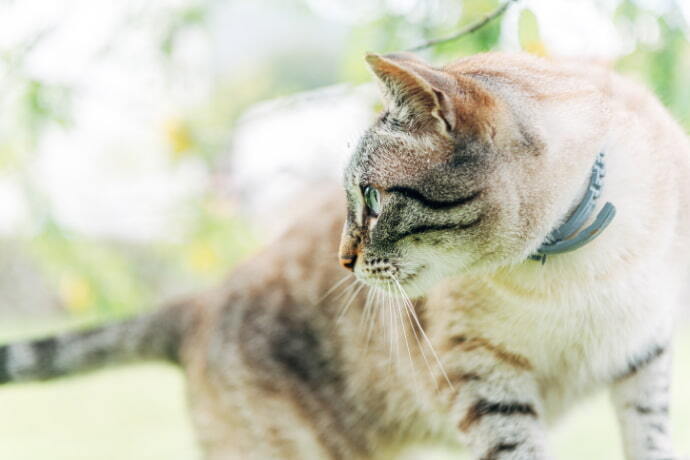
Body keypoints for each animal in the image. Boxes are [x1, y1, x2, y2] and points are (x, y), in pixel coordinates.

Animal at [0, 50, 684, 460]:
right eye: (354, 198)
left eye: (373, 199)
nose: (342, 261)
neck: (574, 258)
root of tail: (201, 301)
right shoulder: (484, 383)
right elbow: (518, 447)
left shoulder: (644, 353)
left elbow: (650, 437)